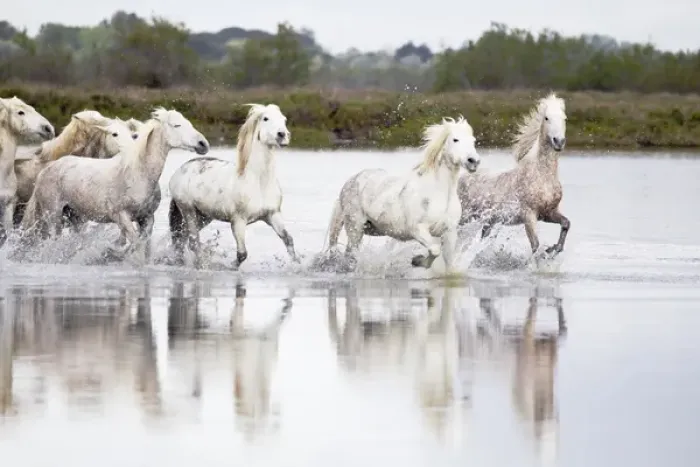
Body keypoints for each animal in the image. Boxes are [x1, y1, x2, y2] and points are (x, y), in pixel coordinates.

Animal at [168, 103, 297, 269]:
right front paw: (229, 266)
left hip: (203, 216)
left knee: (181, 239)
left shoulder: (273, 215)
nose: (282, 135)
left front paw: (298, 265)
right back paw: (200, 264)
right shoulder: (238, 221)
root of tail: (180, 170)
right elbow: (242, 254)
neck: (259, 182)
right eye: (266, 118)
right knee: (193, 242)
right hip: (187, 210)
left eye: (284, 119)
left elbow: (288, 239)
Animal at [323, 116, 480, 274]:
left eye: (473, 141)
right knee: (351, 254)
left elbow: (449, 264)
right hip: (355, 228)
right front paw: (417, 261)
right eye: (455, 139)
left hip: (372, 229)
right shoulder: (417, 229)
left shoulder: (449, 233)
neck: (438, 193)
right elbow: (435, 250)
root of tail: (351, 180)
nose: (473, 161)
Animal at [458, 93, 569, 257]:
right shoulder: (528, 214)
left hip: (489, 221)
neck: (542, 175)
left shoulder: (548, 213)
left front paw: (554, 249)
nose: (559, 142)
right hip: (464, 216)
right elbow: (535, 246)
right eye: (546, 118)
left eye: (564, 118)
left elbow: (566, 224)